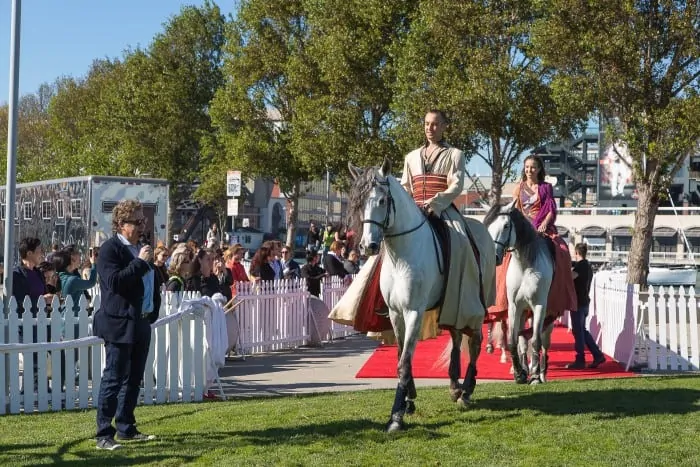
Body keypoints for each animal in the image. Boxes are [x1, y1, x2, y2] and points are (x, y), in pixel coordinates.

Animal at [348, 159, 492, 434]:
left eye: (382, 200)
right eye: (358, 203)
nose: (368, 246)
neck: (402, 254)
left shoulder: (413, 311)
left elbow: (404, 362)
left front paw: (396, 416)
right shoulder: (395, 313)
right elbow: (401, 355)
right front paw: (409, 399)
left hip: (470, 304)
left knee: (475, 341)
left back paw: (467, 390)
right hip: (451, 306)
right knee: (456, 337)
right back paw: (455, 386)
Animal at [484, 203, 556, 386]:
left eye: (506, 226)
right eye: (487, 226)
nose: (494, 256)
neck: (525, 265)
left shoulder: (539, 306)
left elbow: (536, 340)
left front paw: (535, 376)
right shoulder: (514, 307)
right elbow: (513, 341)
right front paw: (519, 374)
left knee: (544, 342)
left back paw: (541, 372)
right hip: (524, 313)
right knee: (523, 341)